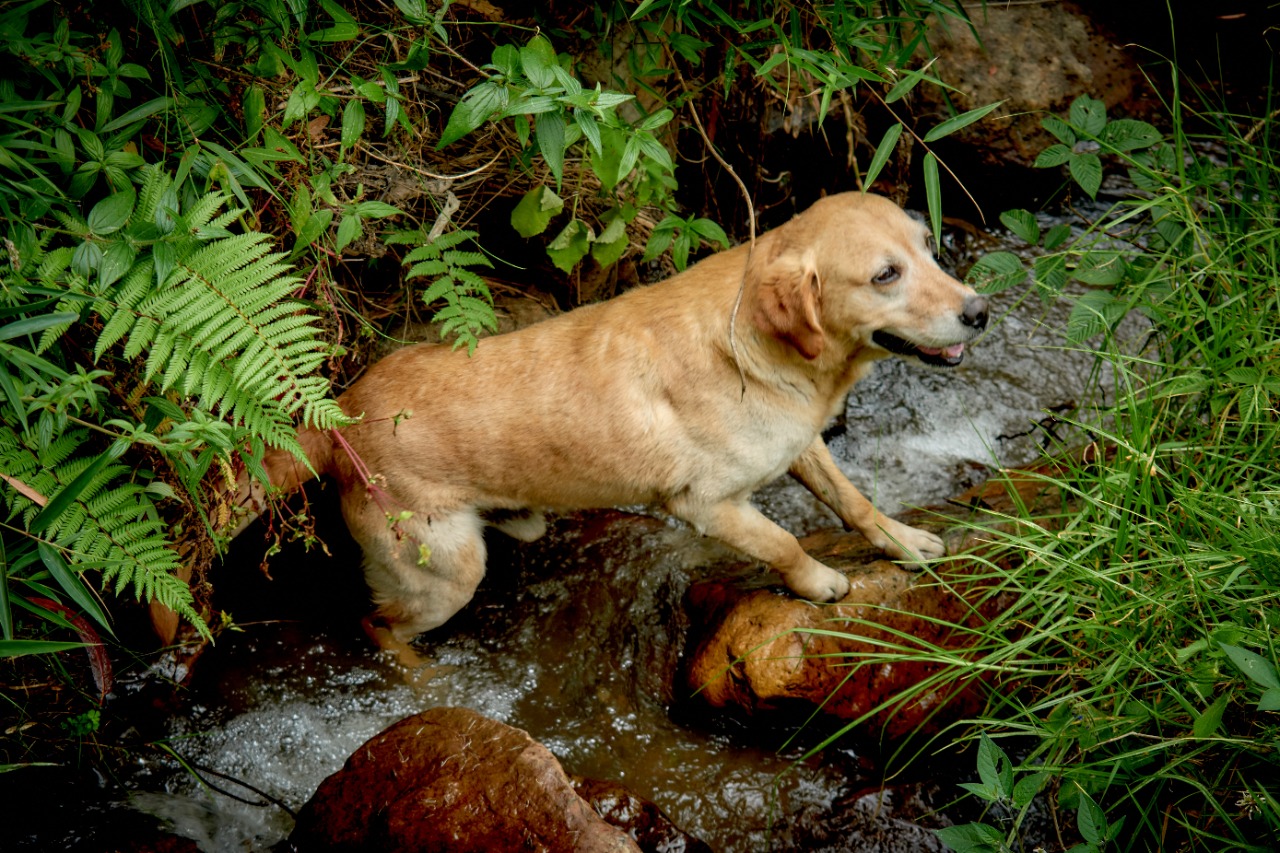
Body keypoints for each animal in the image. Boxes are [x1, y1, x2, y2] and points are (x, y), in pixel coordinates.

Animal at [238, 190, 988, 645]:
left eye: (928, 247)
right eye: (885, 275)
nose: (980, 311)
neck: (755, 345)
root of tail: (339, 414)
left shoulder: (801, 441)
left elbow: (852, 499)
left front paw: (901, 540)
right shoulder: (706, 505)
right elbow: (784, 543)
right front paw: (818, 583)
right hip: (444, 576)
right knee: (379, 627)